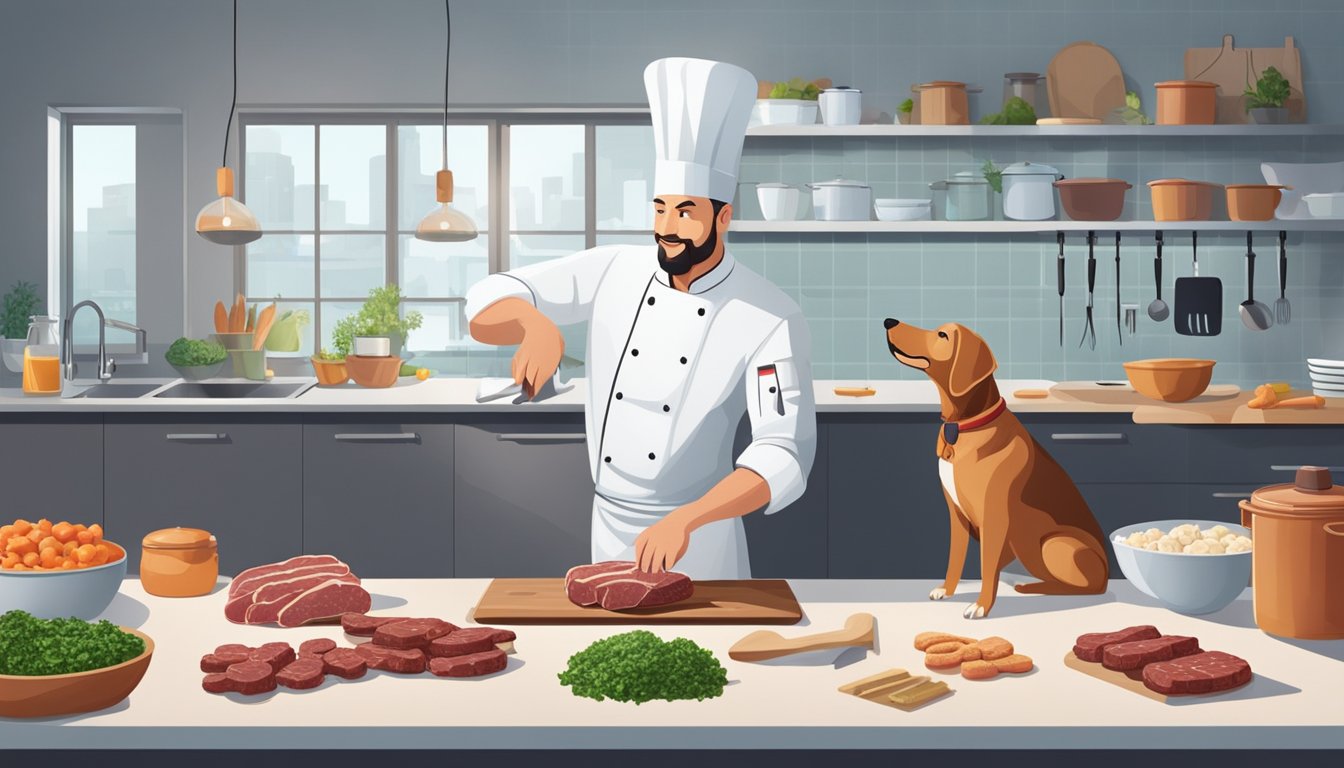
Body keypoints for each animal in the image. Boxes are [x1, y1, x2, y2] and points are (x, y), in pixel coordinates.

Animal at [881, 318, 1102, 618]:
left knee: (1086, 588)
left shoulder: (993, 516)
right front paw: (947, 589)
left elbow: (987, 565)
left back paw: (1033, 588)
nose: (888, 321)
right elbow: (955, 559)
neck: (965, 425)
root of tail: (1107, 571)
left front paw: (981, 605)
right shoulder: (956, 515)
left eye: (942, 335)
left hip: (1055, 544)